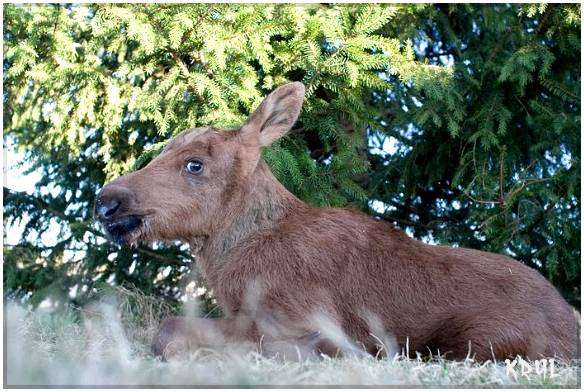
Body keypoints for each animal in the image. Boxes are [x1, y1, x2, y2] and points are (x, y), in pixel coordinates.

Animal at [96, 82, 580, 362]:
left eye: (195, 164)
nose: (106, 202)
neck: (230, 268)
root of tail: (571, 324)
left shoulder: (301, 313)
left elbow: (169, 331)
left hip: (482, 340)